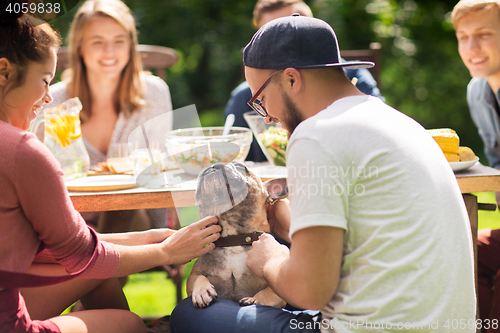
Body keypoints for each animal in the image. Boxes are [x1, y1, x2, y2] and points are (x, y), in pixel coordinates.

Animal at [187, 162, 290, 308]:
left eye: (240, 166)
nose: (214, 165)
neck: (234, 241)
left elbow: (270, 292)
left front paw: (255, 299)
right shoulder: (193, 275)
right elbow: (197, 278)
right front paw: (202, 290)